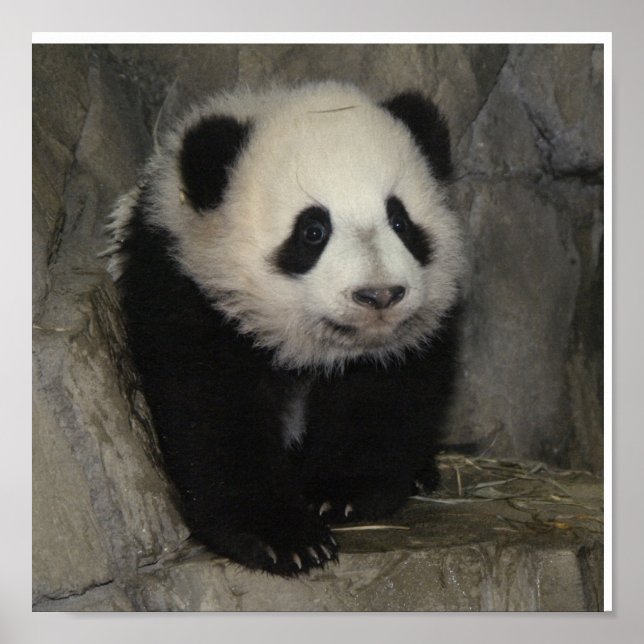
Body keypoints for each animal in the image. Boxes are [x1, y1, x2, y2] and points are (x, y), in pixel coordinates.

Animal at [106, 81, 465, 577]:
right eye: (313, 231)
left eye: (400, 221)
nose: (379, 295)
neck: (311, 345)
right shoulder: (186, 289)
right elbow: (213, 413)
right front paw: (286, 538)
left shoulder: (408, 334)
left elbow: (383, 396)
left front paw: (341, 494)